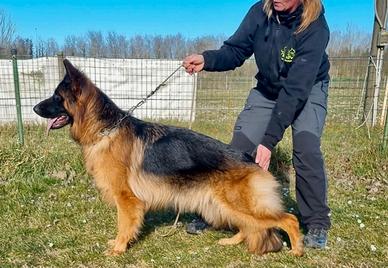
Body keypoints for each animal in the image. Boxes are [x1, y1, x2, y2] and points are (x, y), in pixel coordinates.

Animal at [33, 59, 304, 256]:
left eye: (57, 97)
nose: (34, 108)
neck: (105, 129)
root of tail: (251, 160)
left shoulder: (126, 199)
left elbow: (124, 225)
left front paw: (118, 249)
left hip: (237, 204)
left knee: (288, 219)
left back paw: (297, 251)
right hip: (225, 205)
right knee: (250, 226)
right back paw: (231, 242)